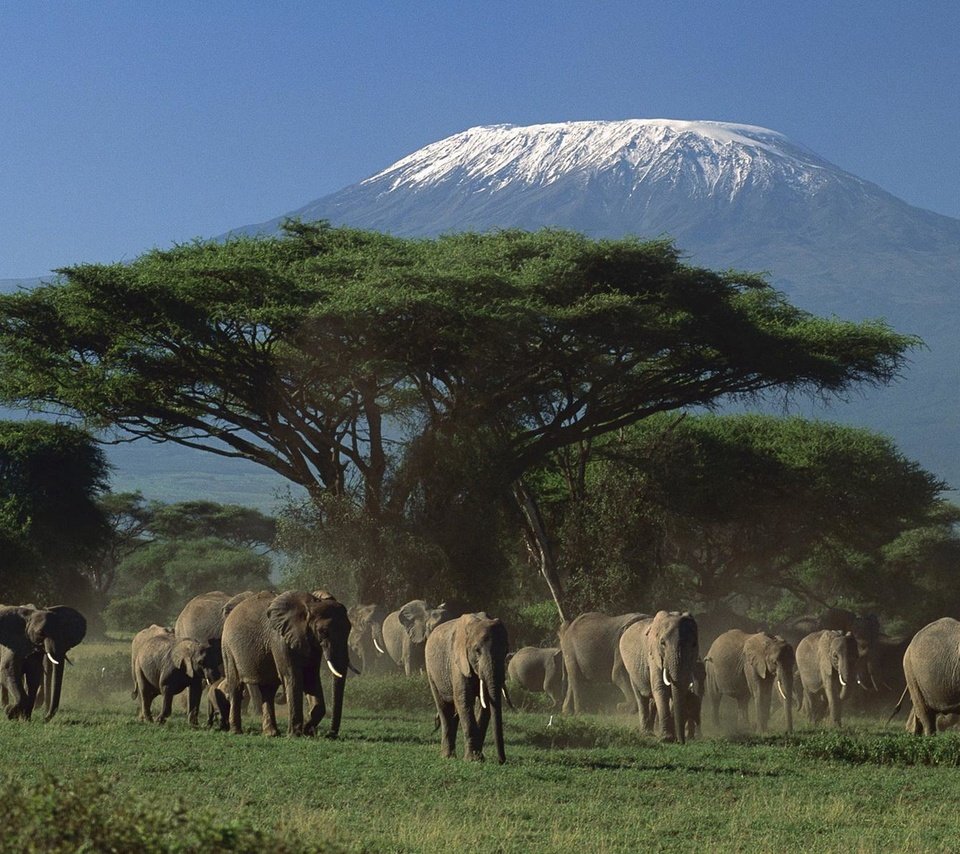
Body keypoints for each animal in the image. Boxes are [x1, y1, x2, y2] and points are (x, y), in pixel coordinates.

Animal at [221, 592, 352, 740]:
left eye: (349, 629)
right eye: (323, 631)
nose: (330, 735)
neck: (310, 605)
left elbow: (311, 678)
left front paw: (307, 730)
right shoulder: (280, 639)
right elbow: (292, 677)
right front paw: (295, 735)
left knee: (268, 691)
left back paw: (271, 733)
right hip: (228, 648)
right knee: (236, 686)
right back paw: (236, 732)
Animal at [424, 612, 506, 764]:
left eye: (505, 650)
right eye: (477, 651)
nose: (501, 761)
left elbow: (483, 704)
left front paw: (479, 758)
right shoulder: (458, 662)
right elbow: (464, 699)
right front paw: (473, 760)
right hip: (431, 671)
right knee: (444, 708)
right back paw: (447, 756)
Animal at [620, 612, 700, 744]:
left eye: (694, 644)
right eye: (662, 643)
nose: (681, 742)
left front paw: (671, 737)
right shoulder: (654, 656)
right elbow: (661, 688)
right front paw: (667, 739)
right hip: (631, 668)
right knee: (641, 697)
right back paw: (647, 734)